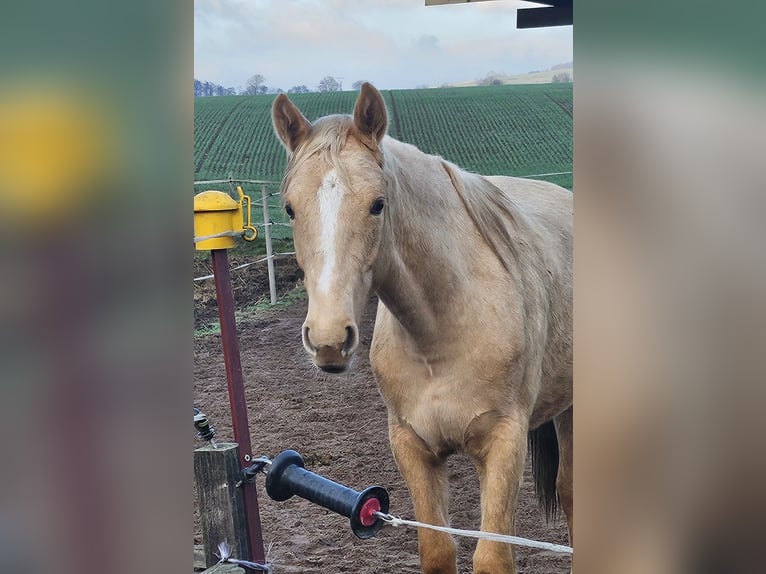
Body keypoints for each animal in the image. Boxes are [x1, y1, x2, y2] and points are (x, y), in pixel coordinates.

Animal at [271, 83, 572, 574]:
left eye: (377, 205)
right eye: (290, 208)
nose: (329, 339)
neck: (441, 335)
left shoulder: (504, 444)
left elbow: (492, 556)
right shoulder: (413, 447)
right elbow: (438, 549)